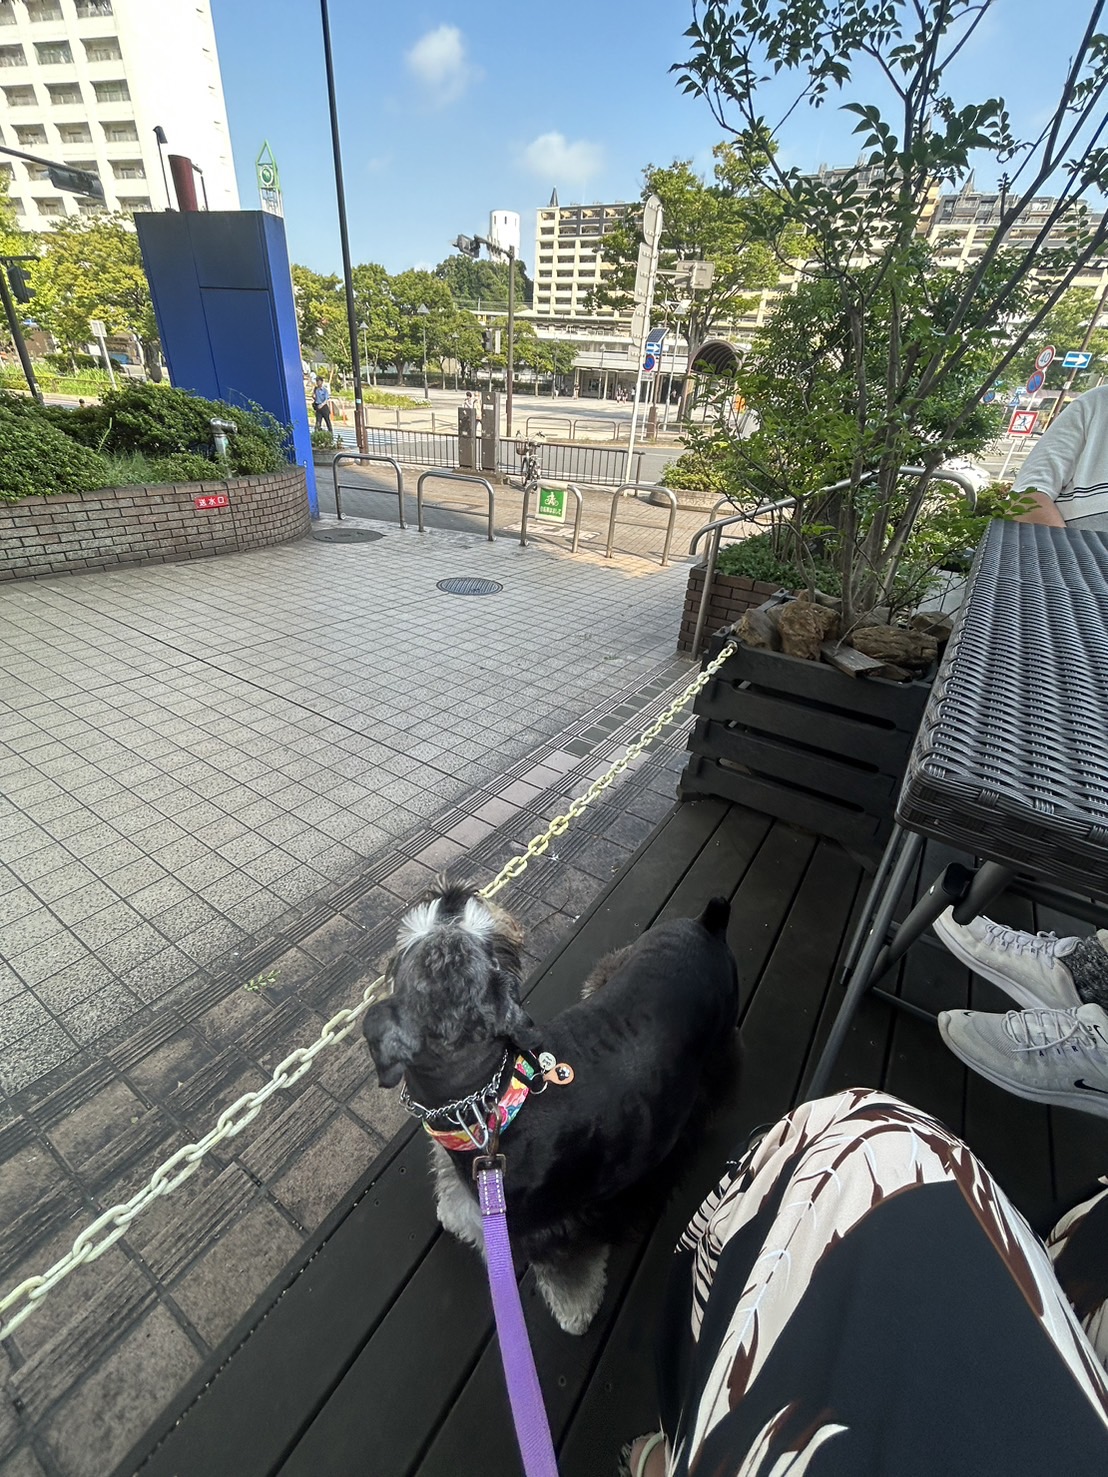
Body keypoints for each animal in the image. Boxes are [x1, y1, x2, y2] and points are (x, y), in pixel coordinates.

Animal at [364, 886, 741, 1341]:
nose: (453, 894)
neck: (492, 1097)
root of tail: (708, 924)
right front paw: (453, 1217)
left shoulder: (558, 1229)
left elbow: (569, 1275)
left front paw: (576, 1315)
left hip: (719, 1047)